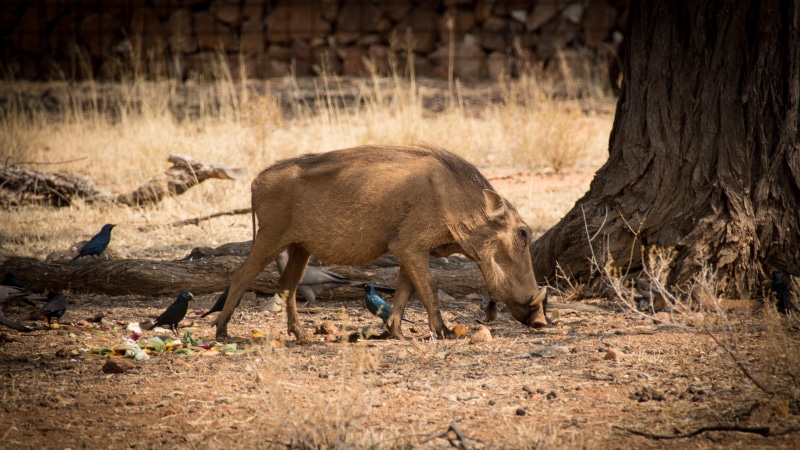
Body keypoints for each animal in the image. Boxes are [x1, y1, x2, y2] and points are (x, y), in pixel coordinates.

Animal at [214, 144, 547, 341]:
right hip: (270, 236)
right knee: (241, 276)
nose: (542, 321)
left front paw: (393, 332)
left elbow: (405, 289)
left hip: (300, 247)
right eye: (523, 234)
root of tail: (255, 181)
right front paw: (444, 332)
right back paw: (222, 332)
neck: (460, 206)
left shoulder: (408, 249)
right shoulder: (411, 246)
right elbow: (429, 287)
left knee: (287, 285)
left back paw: (301, 336)